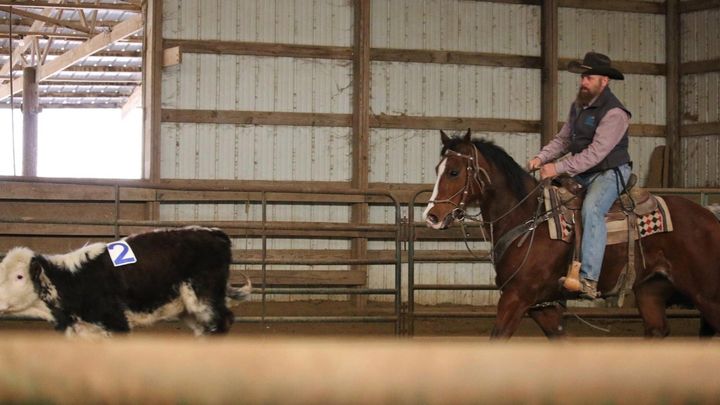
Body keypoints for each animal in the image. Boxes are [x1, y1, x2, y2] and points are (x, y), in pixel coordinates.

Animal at [0, 226, 251, 338]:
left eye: (19, 276)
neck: (75, 280)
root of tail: (214, 232)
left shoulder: (117, 324)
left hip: (203, 297)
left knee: (221, 322)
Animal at [423, 129, 720, 338]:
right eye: (437, 169)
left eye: (454, 171)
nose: (431, 216)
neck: (528, 220)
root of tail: (708, 216)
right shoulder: (544, 307)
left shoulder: (517, 298)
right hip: (651, 291)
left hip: (707, 295)